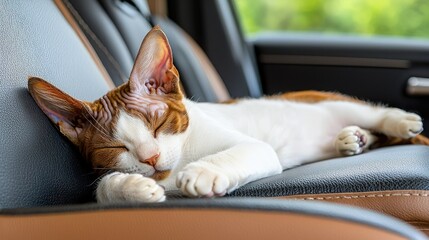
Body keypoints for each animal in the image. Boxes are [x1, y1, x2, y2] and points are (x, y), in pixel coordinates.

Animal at [28, 25, 426, 202]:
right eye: (115, 149)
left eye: (158, 125)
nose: (151, 158)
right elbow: (103, 188)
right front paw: (129, 188)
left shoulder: (251, 147)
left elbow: (238, 152)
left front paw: (203, 173)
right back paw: (352, 138)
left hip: (328, 101)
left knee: (371, 113)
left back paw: (397, 121)